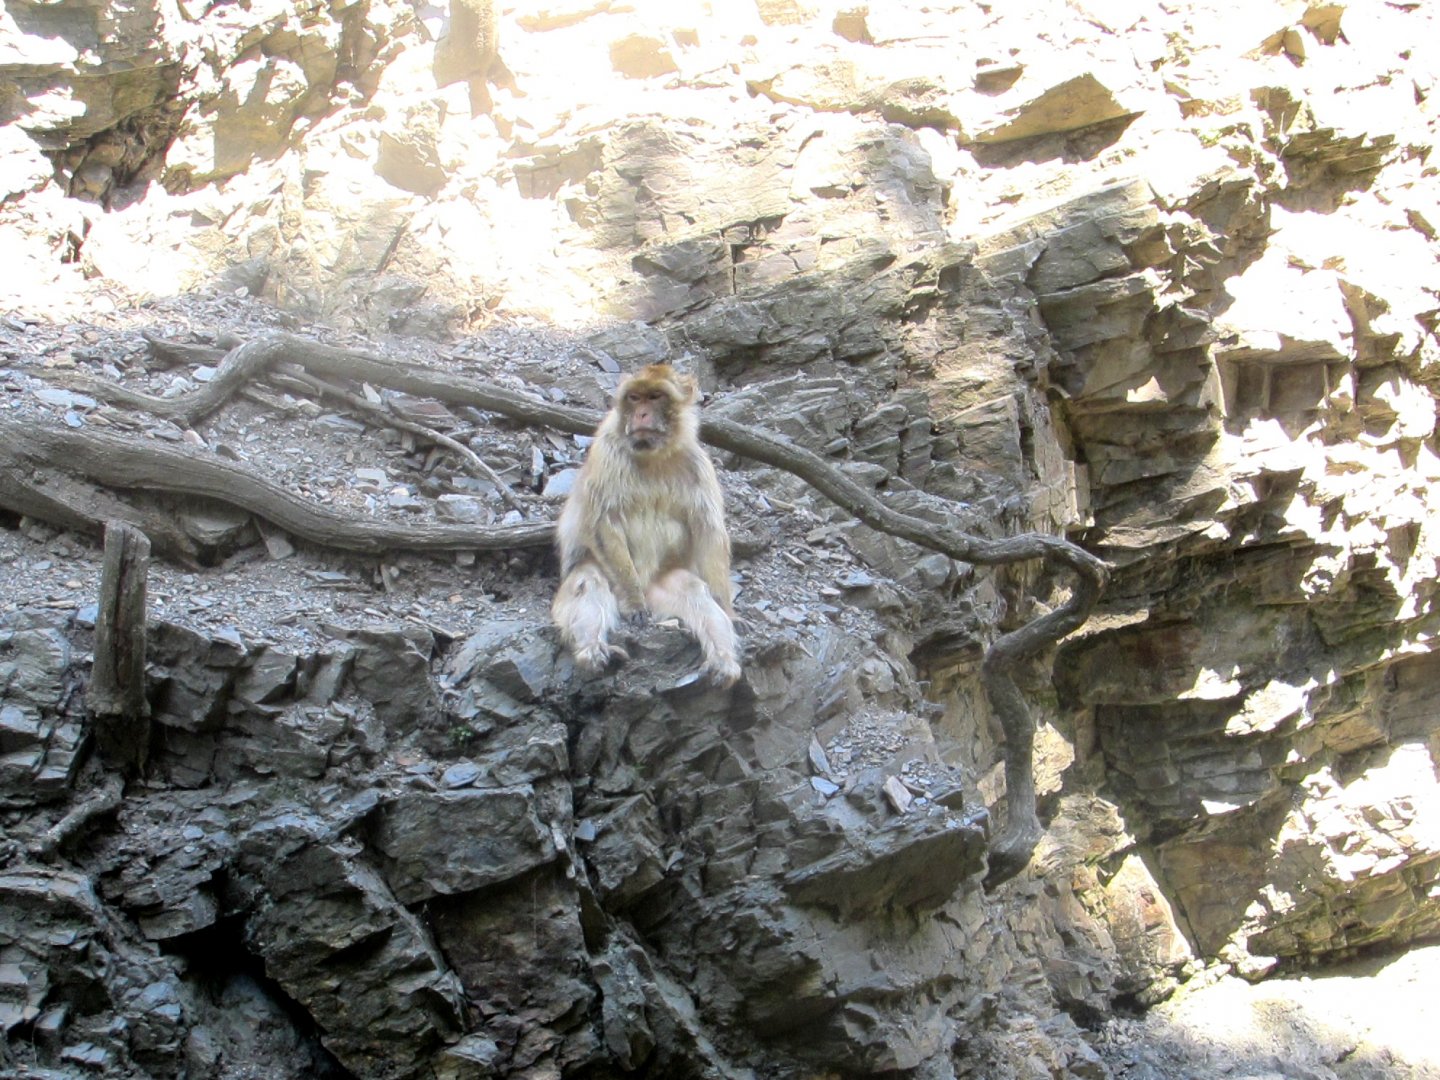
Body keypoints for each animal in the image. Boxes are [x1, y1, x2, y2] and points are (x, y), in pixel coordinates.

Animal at [552, 364, 741, 687]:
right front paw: (633, 603)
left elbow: (708, 531)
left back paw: (723, 661)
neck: (653, 455)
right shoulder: (607, 451)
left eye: (654, 397)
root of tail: (647, 582)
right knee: (589, 580)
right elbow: (603, 522)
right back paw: (593, 651)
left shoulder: (698, 463)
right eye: (635, 397)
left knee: (693, 590)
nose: (641, 414)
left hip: (660, 590)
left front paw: (726, 610)